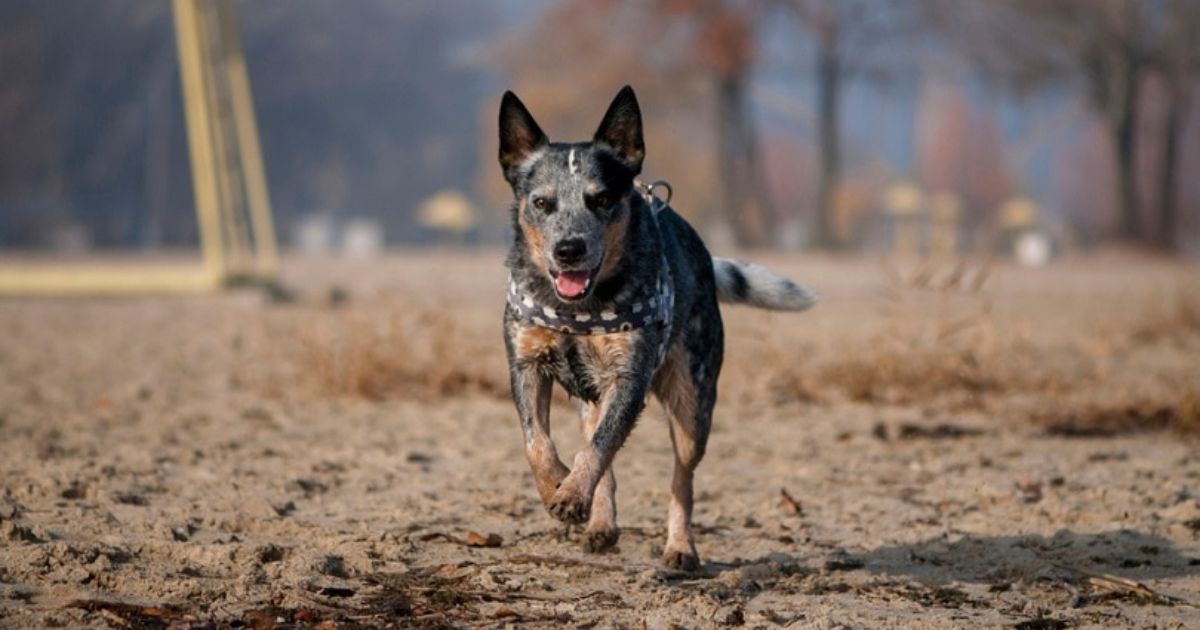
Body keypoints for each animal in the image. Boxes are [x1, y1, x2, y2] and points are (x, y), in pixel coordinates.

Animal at [496, 84, 816, 568]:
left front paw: (570, 494)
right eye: (541, 203)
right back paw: (601, 524)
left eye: (602, 199)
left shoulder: (630, 377)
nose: (569, 249)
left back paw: (680, 546)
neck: (579, 308)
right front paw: (557, 487)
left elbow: (600, 447)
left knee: (680, 479)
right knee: (599, 449)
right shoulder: (526, 363)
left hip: (692, 404)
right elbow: (538, 443)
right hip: (593, 400)